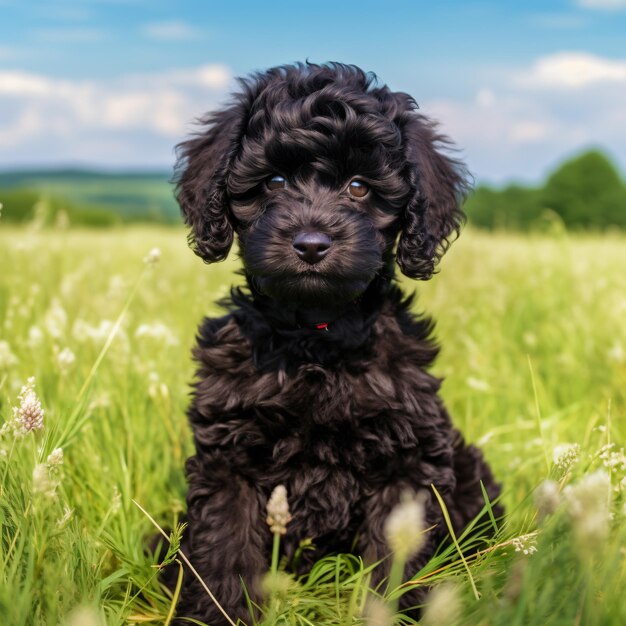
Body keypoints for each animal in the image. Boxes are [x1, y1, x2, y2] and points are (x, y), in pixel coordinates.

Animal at [172, 62, 502, 620]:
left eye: (358, 187)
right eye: (274, 181)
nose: (311, 244)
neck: (316, 339)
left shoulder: (406, 461)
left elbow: (395, 559)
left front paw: (391, 613)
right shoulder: (228, 458)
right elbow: (225, 546)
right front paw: (221, 613)